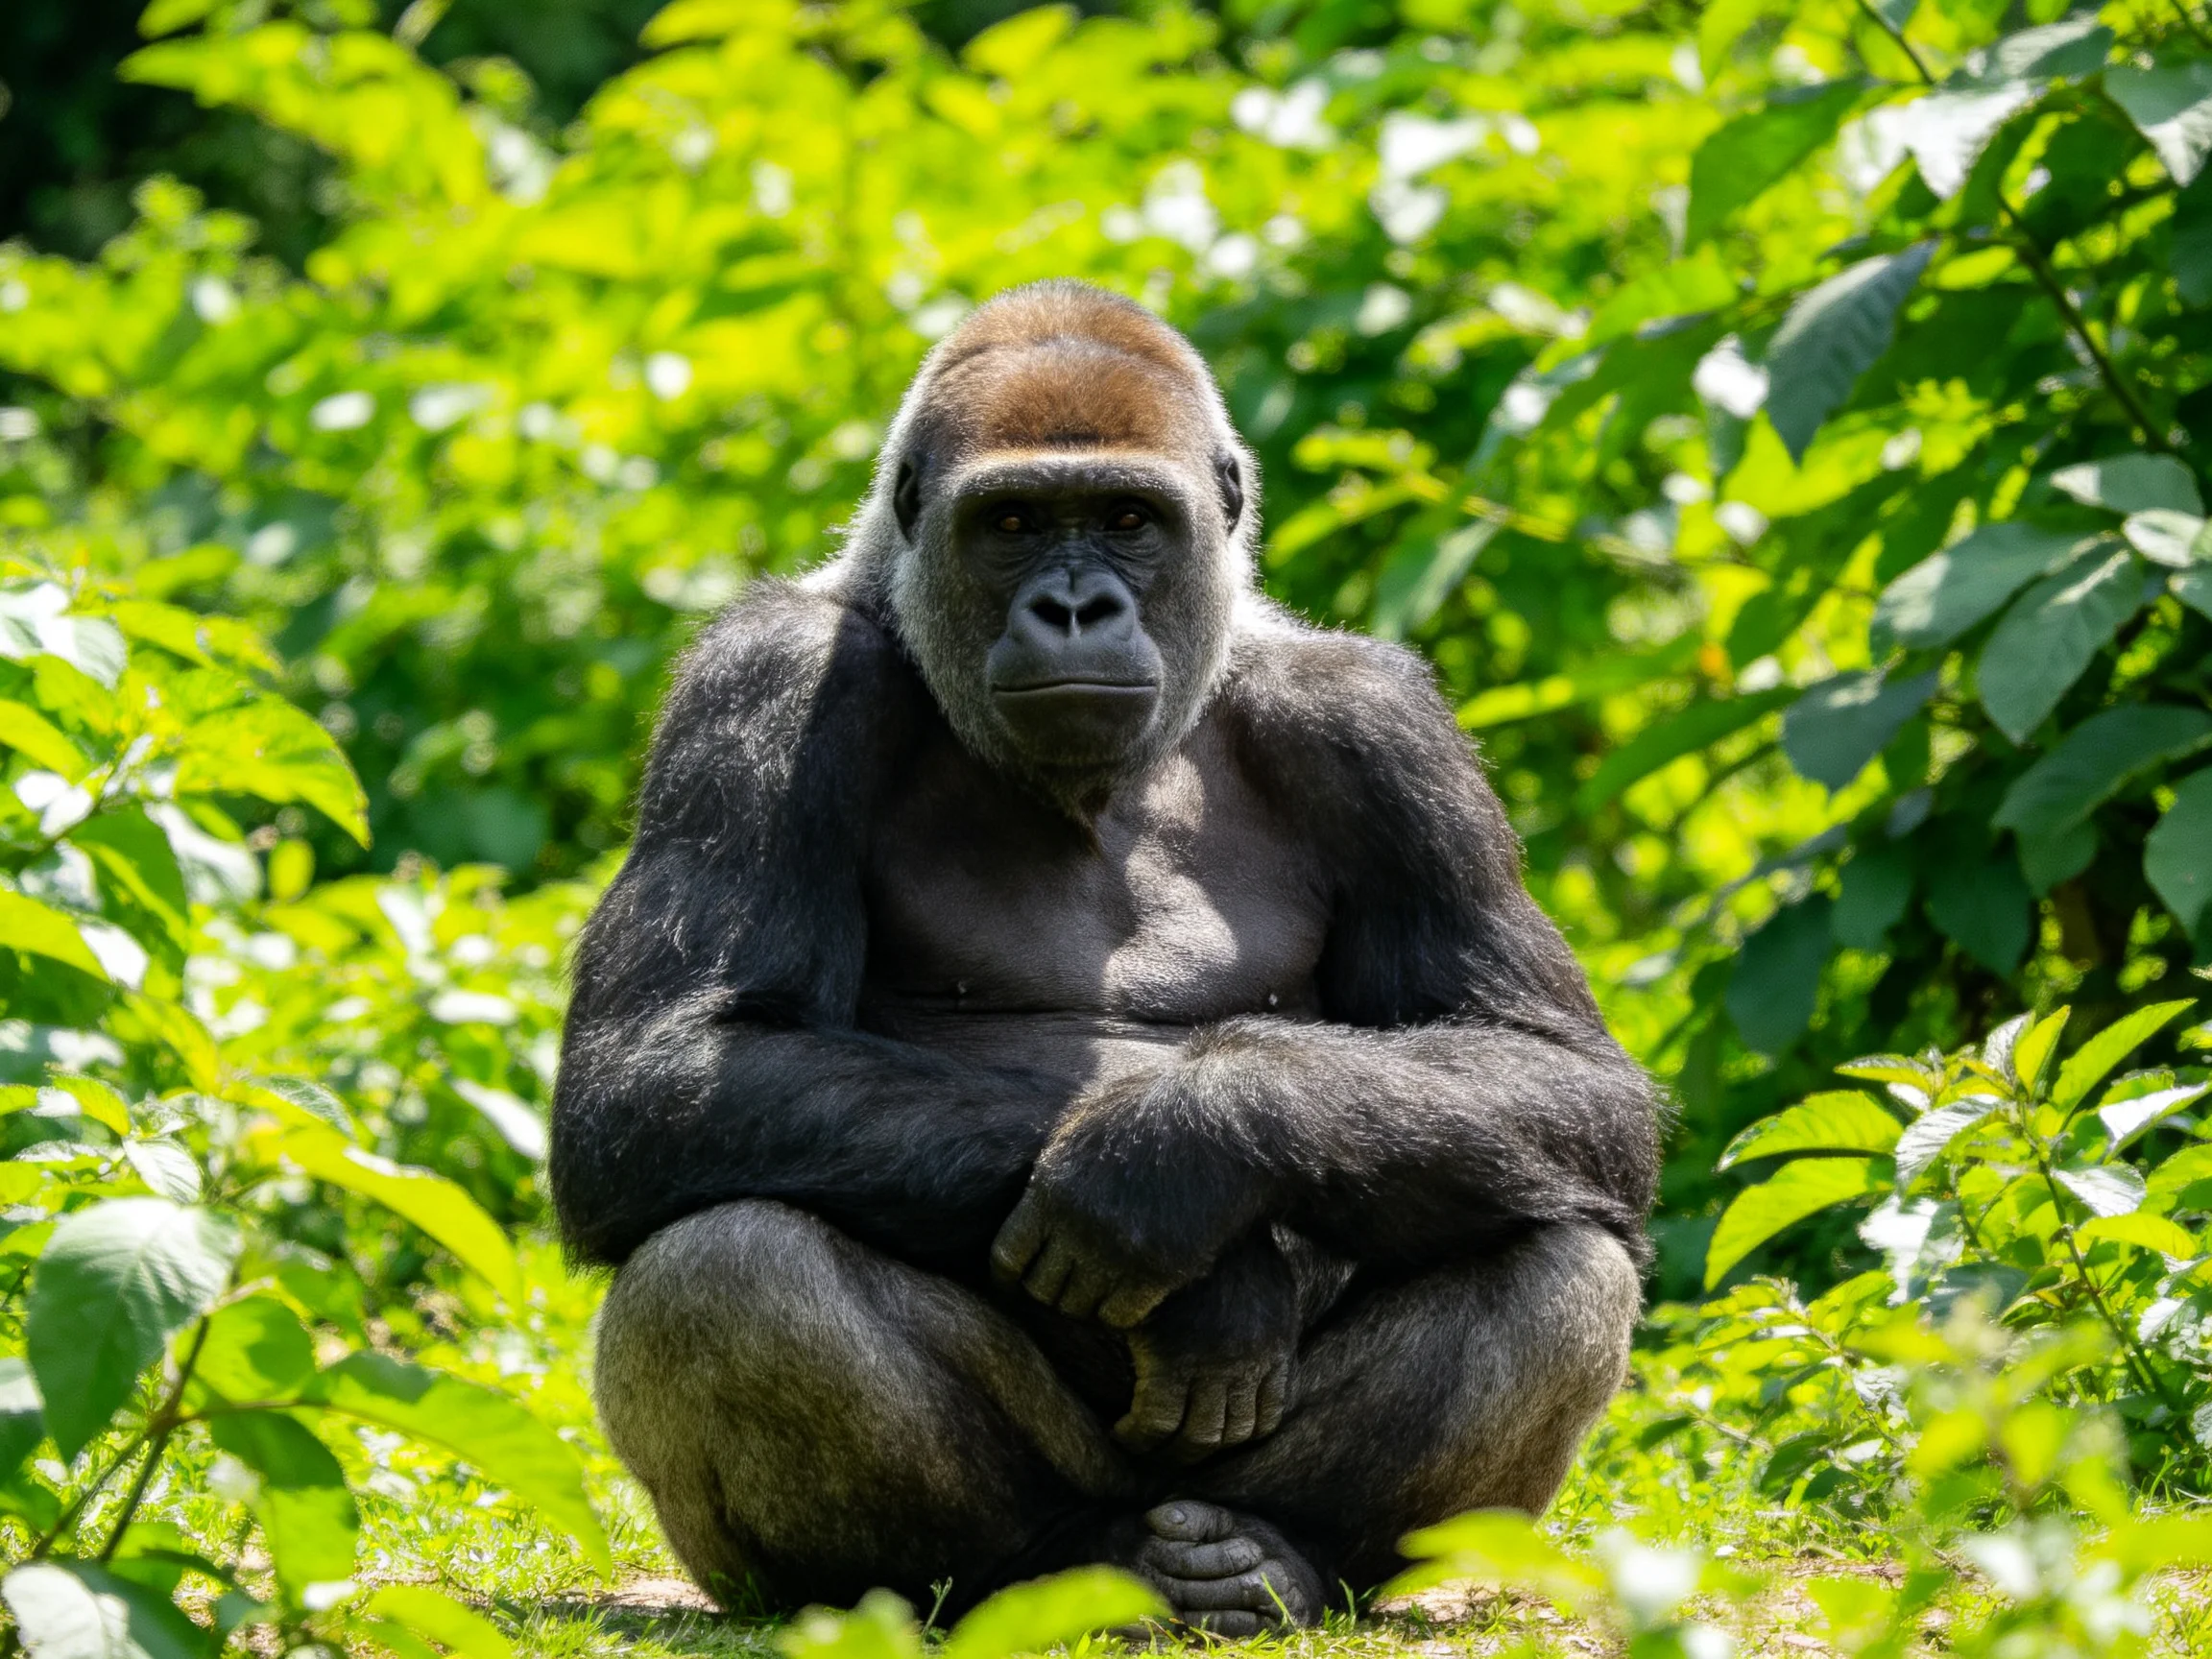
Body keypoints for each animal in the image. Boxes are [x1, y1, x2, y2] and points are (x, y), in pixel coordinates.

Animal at [550, 280, 1658, 1635]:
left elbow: (1556, 1072)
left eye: (1128, 519)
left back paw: (1279, 1554)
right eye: (1014, 522)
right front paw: (1208, 1270)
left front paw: (1180, 1147)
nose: (1074, 608)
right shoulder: (761, 682)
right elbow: (658, 1075)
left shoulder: (1383, 727)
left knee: (1557, 1254)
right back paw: (1051, 1567)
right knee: (723, 1267)